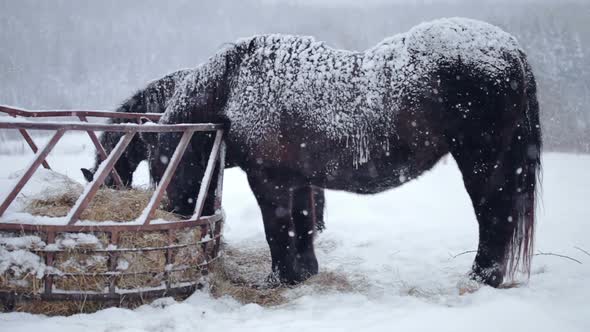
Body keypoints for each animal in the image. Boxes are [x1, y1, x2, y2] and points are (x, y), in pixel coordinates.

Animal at [93, 18, 544, 288]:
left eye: (162, 165)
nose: (179, 215)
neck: (234, 85)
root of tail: (508, 47)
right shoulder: (299, 180)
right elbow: (303, 226)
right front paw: (304, 275)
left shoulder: (269, 179)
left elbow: (278, 230)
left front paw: (279, 279)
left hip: (481, 165)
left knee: (493, 217)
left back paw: (481, 276)